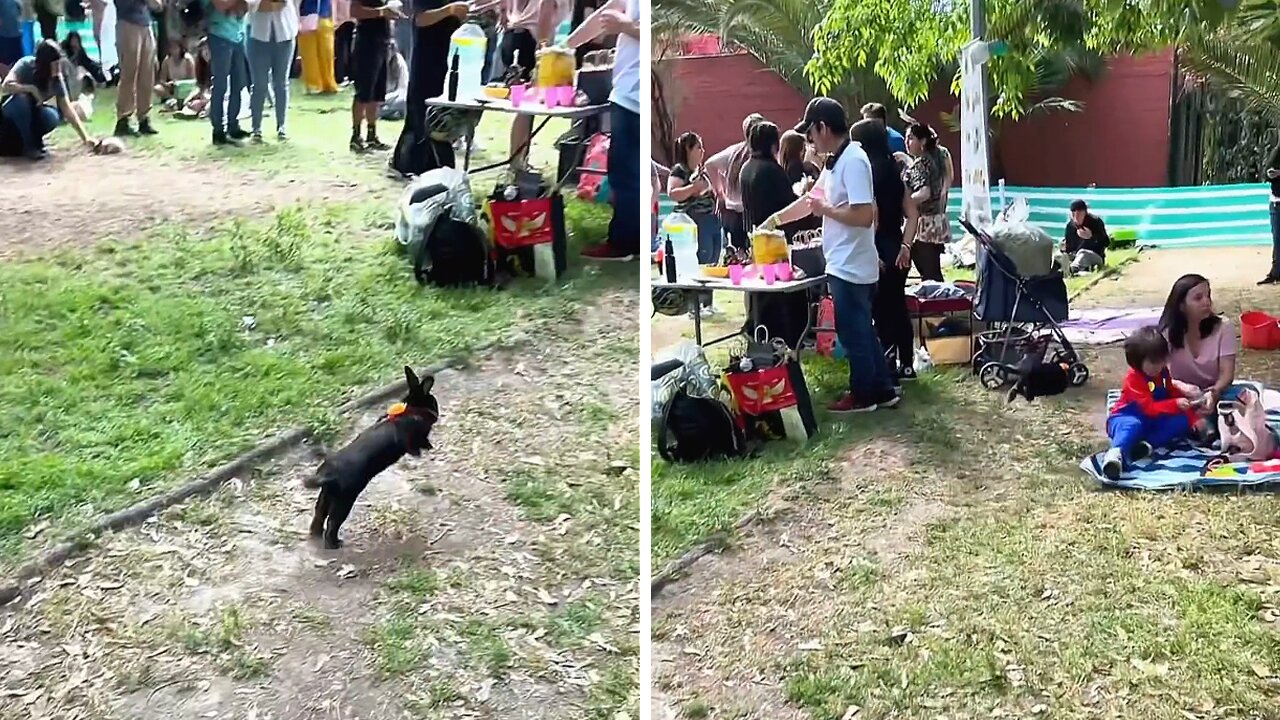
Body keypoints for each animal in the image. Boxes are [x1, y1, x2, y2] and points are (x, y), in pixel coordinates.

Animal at [303, 366, 440, 545]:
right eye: (433, 402)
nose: (437, 412)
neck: (411, 410)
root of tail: (327, 474)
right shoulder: (416, 438)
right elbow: (420, 443)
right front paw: (426, 448)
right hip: (344, 500)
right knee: (333, 522)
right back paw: (334, 544)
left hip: (326, 495)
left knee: (319, 515)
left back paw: (316, 534)